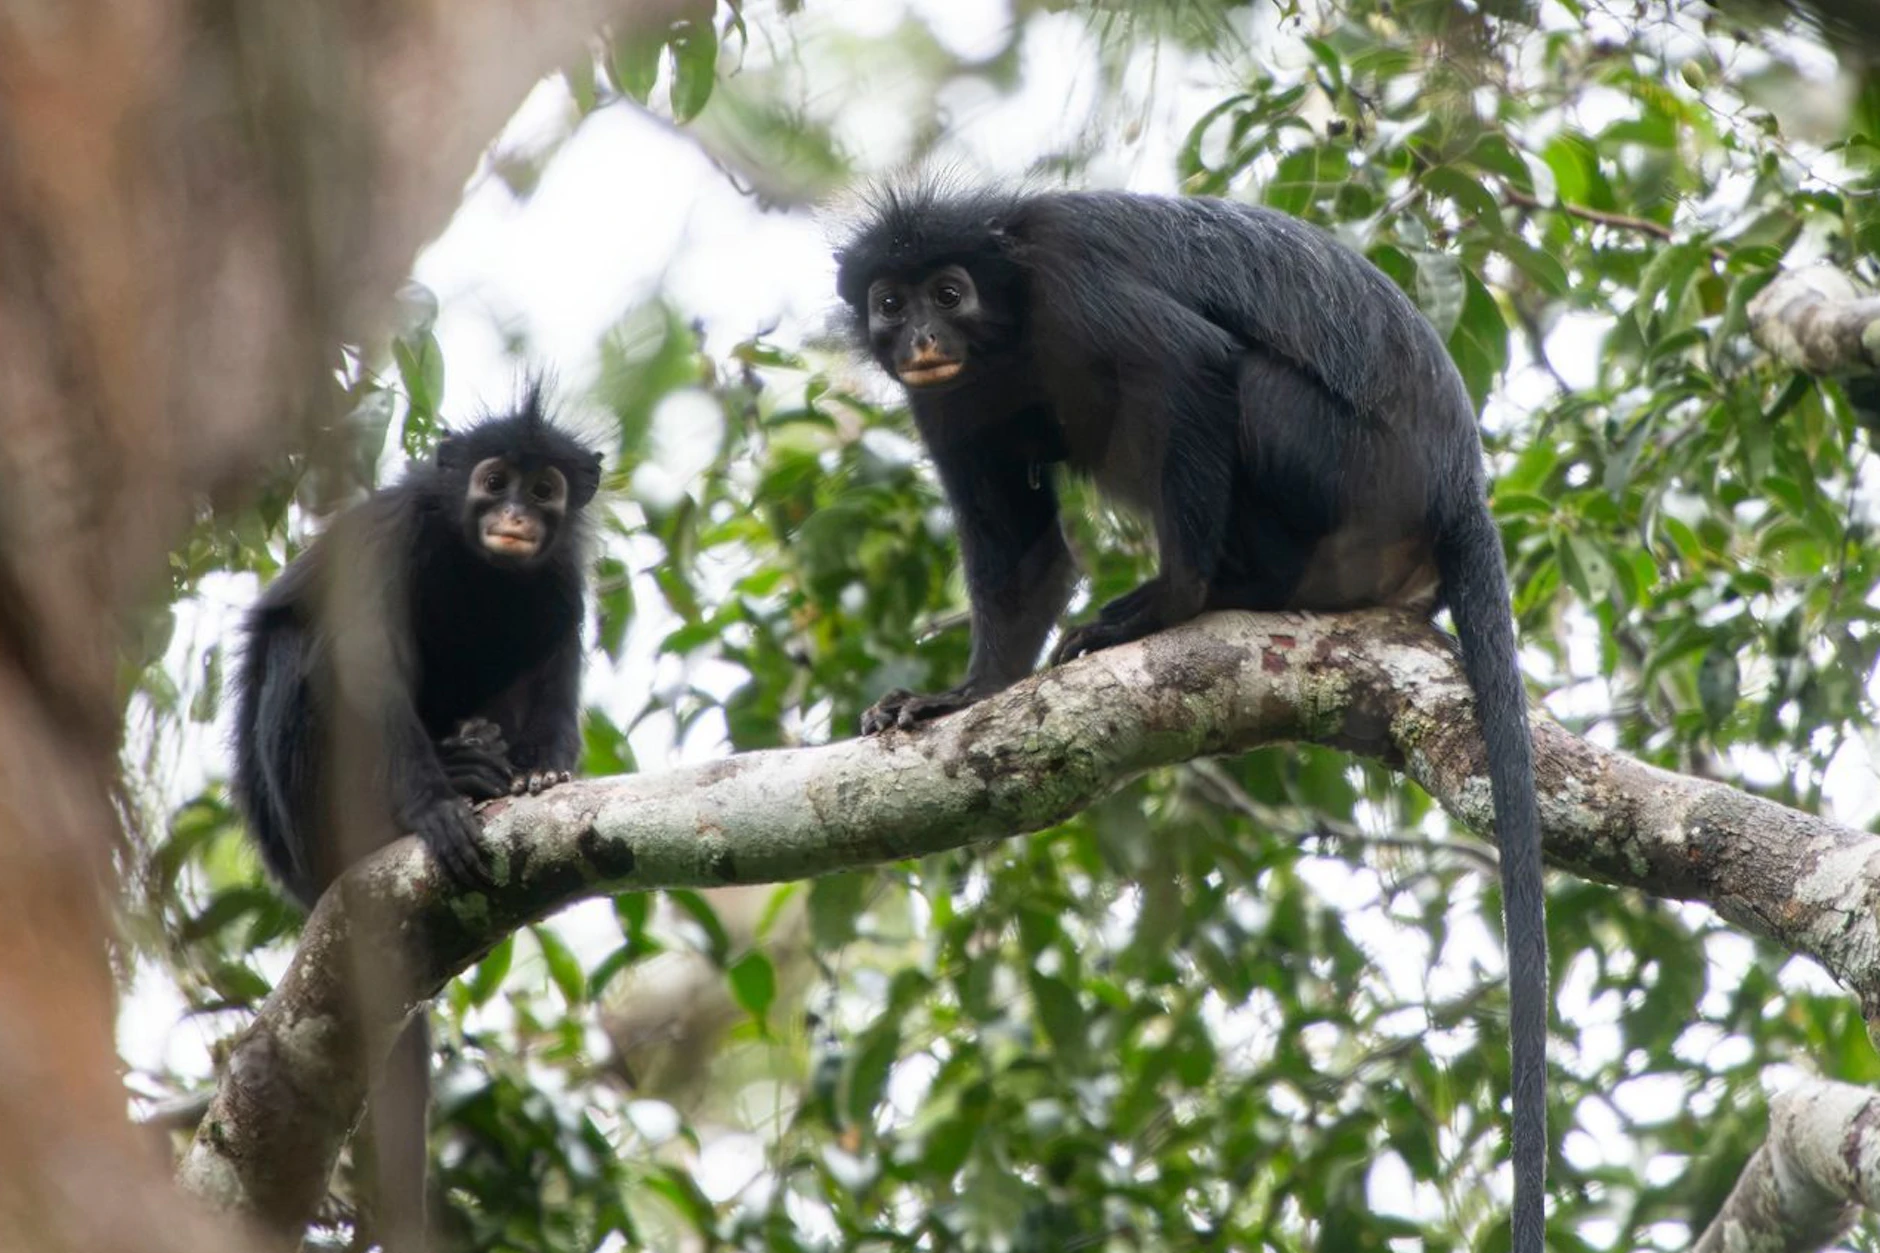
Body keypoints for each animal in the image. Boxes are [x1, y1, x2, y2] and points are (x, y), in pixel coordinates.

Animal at [229, 390, 602, 1250]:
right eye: (494, 480)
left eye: (545, 490)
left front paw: (542, 774)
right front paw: (434, 807)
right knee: (304, 645)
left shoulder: (562, 572)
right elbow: (364, 664)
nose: (513, 516)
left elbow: (557, 646)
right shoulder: (389, 538)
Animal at [836, 186, 1546, 1252]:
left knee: (1232, 380)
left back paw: (1226, 590)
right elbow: (1022, 554)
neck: (1008, 321)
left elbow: (1191, 366)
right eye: (891, 301)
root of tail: (1458, 484)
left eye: (949, 293)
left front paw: (1171, 601)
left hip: (1342, 466)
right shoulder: (947, 396)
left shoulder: (1070, 285)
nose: (921, 333)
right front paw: (960, 695)